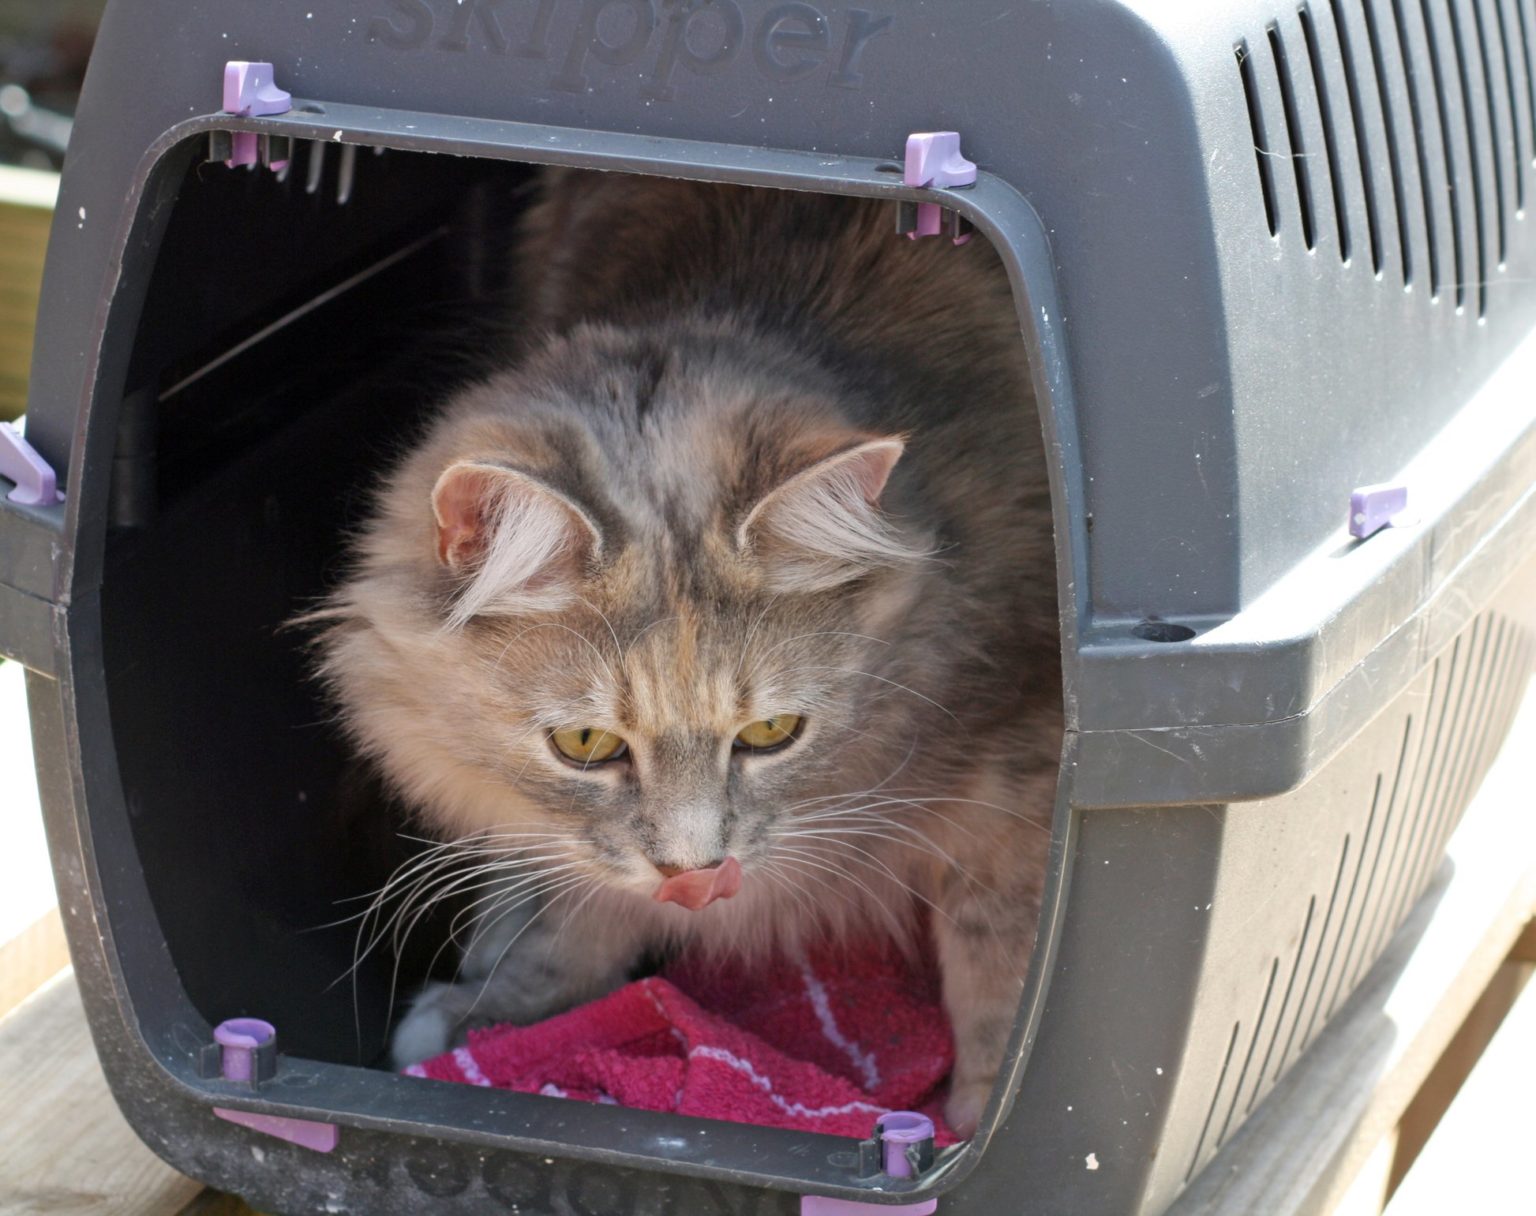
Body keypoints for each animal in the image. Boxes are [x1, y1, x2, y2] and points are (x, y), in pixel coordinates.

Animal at [311, 166, 1056, 1136]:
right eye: (586, 745)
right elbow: (583, 910)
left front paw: (988, 1112)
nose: (695, 872)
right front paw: (500, 1010)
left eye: (773, 733)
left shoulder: (1024, 773)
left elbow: (1002, 954)